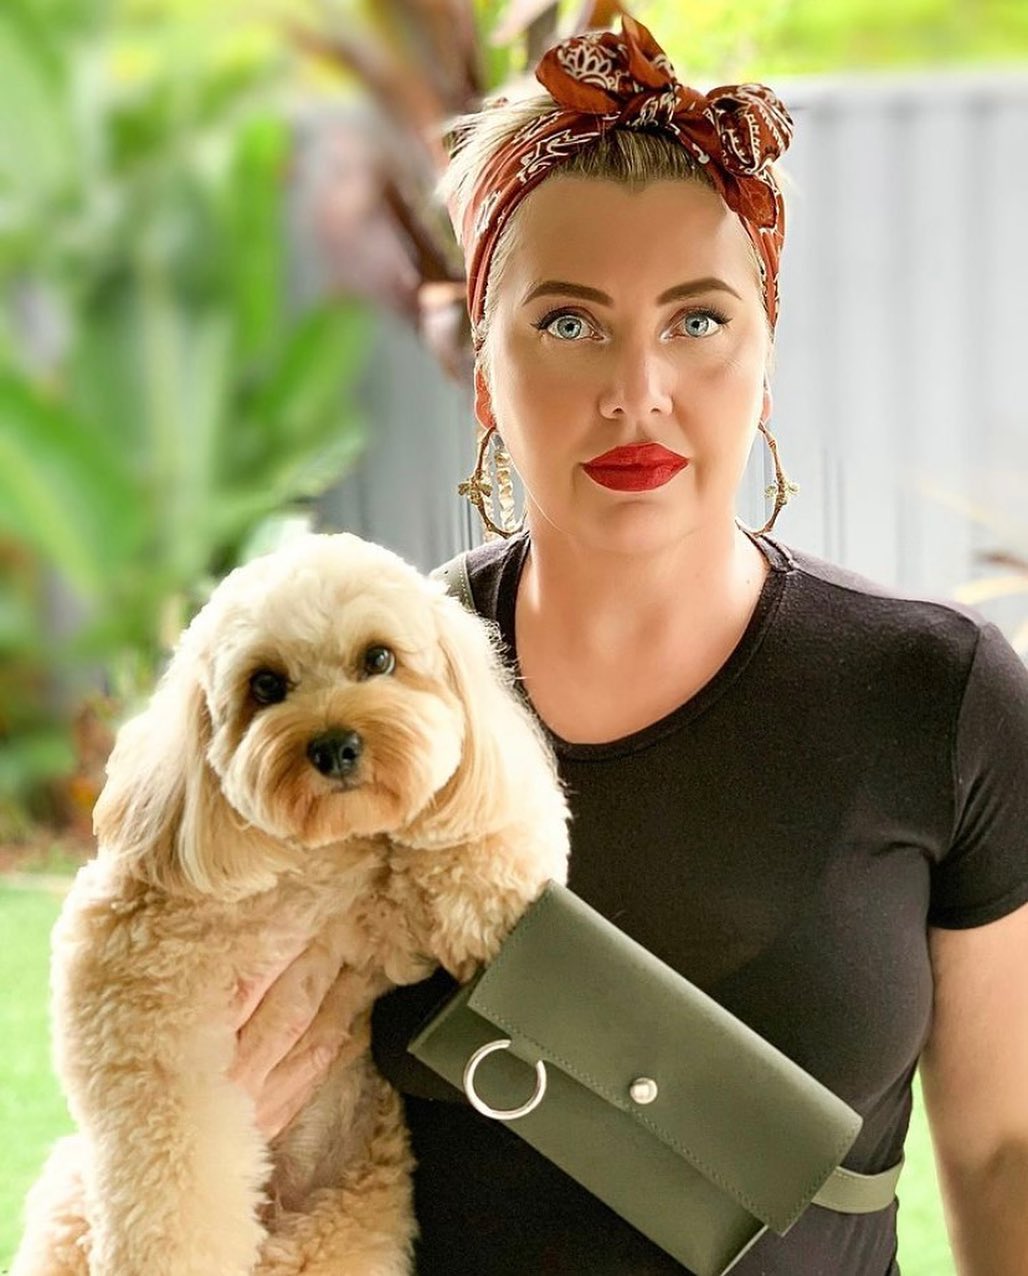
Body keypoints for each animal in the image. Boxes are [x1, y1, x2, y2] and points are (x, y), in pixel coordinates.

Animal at [12, 535, 571, 1276]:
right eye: (265, 685)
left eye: (379, 659)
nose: (334, 746)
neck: (305, 868)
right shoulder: (145, 1036)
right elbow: (171, 1193)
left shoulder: (386, 931)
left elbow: (460, 857)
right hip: (73, 1205)